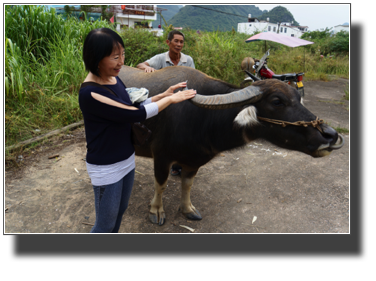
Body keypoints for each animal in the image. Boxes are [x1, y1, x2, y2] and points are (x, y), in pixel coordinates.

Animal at [118, 64, 344, 224]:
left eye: (298, 98)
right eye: (277, 101)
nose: (330, 135)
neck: (202, 118)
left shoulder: (193, 161)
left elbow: (187, 184)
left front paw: (188, 209)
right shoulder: (161, 157)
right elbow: (161, 185)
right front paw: (156, 211)